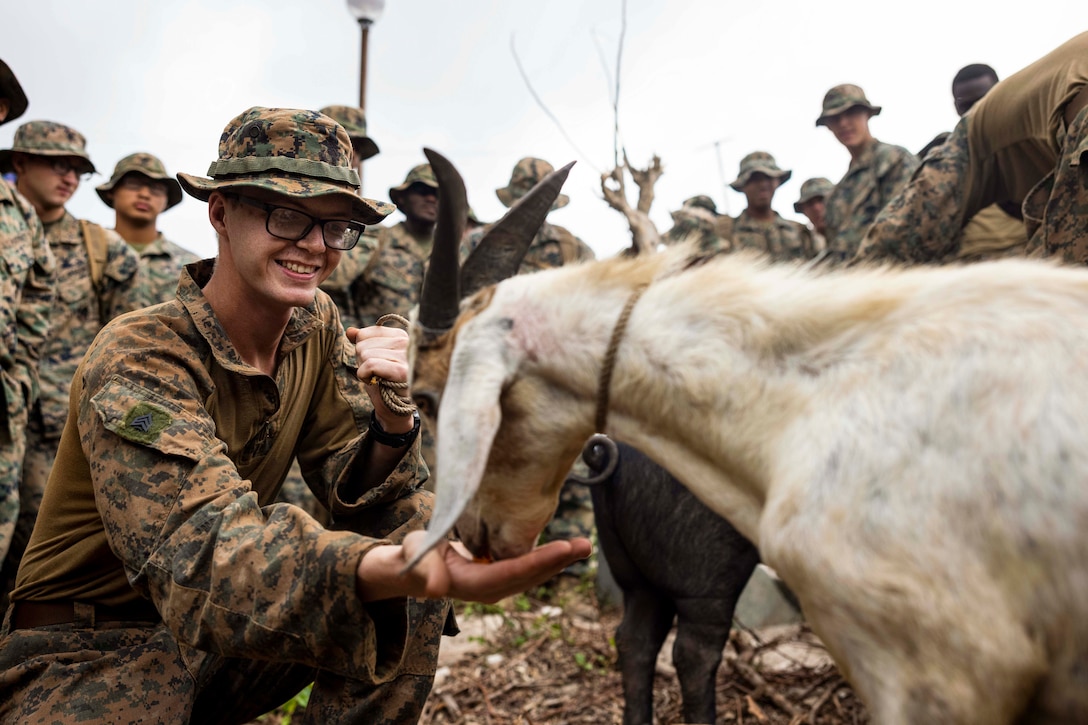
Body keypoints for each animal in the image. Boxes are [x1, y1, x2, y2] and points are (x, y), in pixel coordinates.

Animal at [411, 247, 1088, 722]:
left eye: (431, 398)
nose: (471, 532)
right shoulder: (944, 672)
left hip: (645, 576)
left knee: (637, 643)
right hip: (704, 578)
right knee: (690, 653)